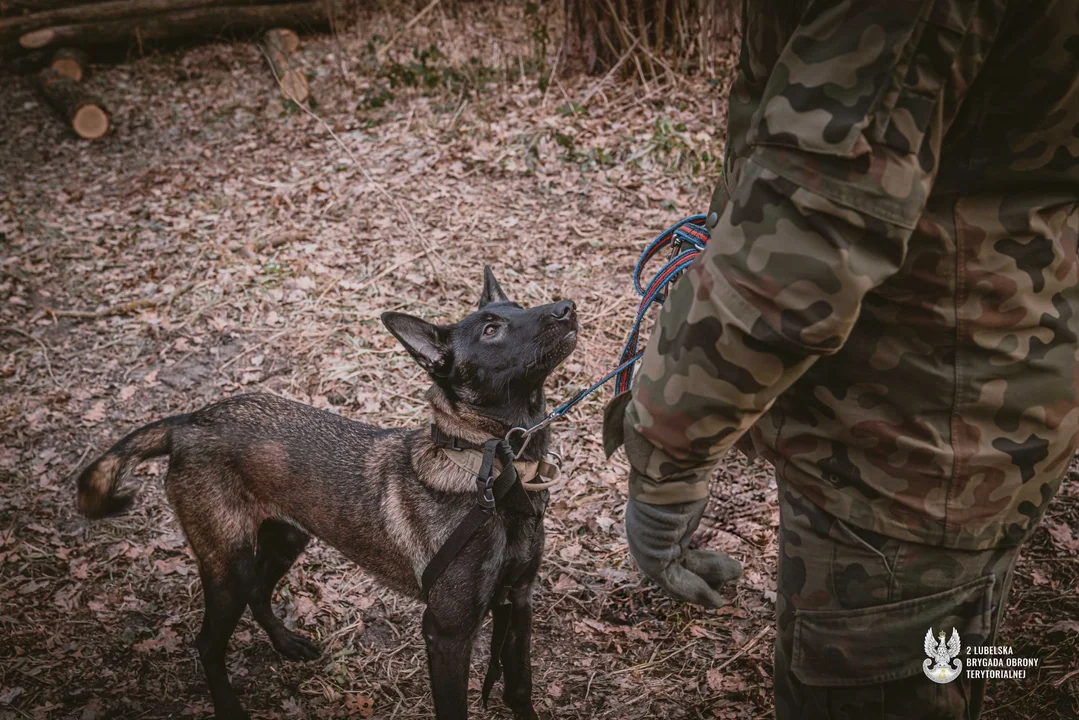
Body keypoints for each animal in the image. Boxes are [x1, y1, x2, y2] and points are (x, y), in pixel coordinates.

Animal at [77, 268, 578, 720]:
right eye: (492, 330)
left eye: (520, 306)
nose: (567, 308)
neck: (495, 469)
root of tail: (188, 422)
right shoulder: (447, 633)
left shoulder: (517, 602)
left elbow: (519, 689)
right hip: (229, 566)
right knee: (208, 642)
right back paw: (229, 706)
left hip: (286, 538)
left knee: (259, 593)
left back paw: (286, 643)